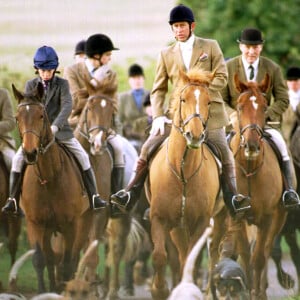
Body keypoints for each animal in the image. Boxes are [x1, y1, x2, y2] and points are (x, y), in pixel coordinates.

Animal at [12, 82, 93, 292]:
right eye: (17, 118)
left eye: (41, 116)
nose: (30, 153)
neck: (48, 178)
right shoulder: (35, 224)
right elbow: (40, 260)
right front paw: (44, 291)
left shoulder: (71, 225)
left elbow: (67, 264)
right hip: (48, 230)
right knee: (50, 259)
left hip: (82, 224)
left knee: (72, 258)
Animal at [145, 68, 220, 300]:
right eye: (183, 99)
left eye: (208, 102)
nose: (194, 135)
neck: (183, 172)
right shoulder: (159, 218)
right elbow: (159, 256)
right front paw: (159, 290)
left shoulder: (201, 222)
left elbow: (189, 260)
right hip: (177, 228)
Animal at [230, 73, 288, 300]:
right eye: (239, 107)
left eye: (264, 108)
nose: (252, 146)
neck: (249, 169)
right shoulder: (237, 217)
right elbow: (246, 256)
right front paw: (245, 290)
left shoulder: (266, 218)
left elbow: (258, 258)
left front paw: (255, 293)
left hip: (278, 218)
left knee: (266, 250)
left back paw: (261, 289)